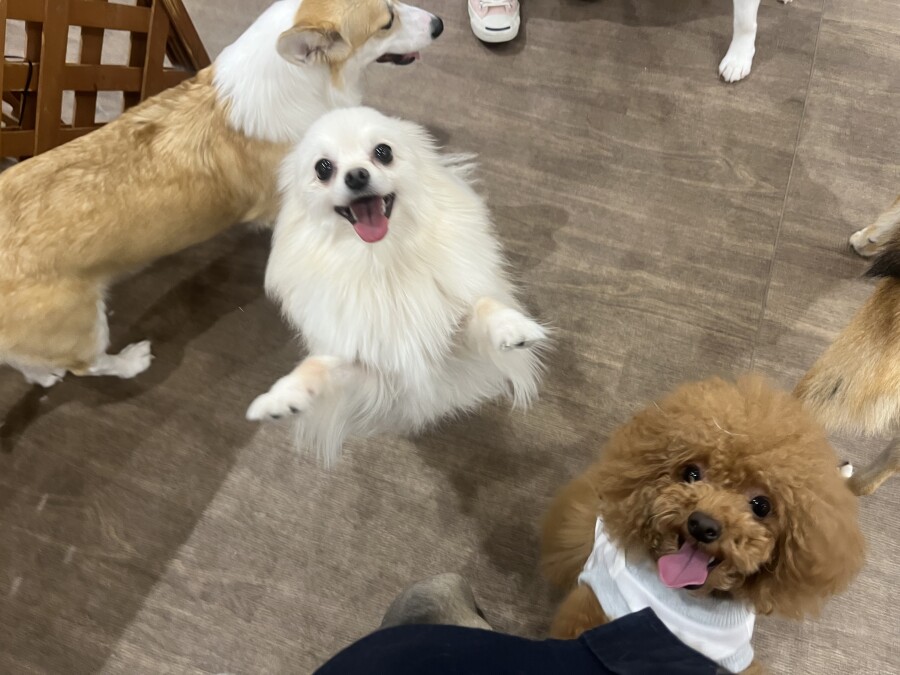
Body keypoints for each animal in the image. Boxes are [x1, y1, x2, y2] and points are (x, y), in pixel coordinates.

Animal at [0, 0, 442, 388]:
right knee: (86, 365)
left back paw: (45, 375)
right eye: (387, 22)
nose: (439, 24)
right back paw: (130, 361)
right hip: (82, 326)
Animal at [246, 107, 548, 464]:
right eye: (323, 168)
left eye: (383, 152)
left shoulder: (453, 351)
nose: (356, 176)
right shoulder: (374, 377)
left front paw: (510, 326)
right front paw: (282, 397)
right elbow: (317, 365)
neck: (382, 260)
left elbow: (480, 307)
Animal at [541, 376, 864, 674]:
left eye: (761, 506)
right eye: (691, 473)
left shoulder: (733, 655)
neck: (682, 600)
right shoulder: (597, 606)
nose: (702, 525)